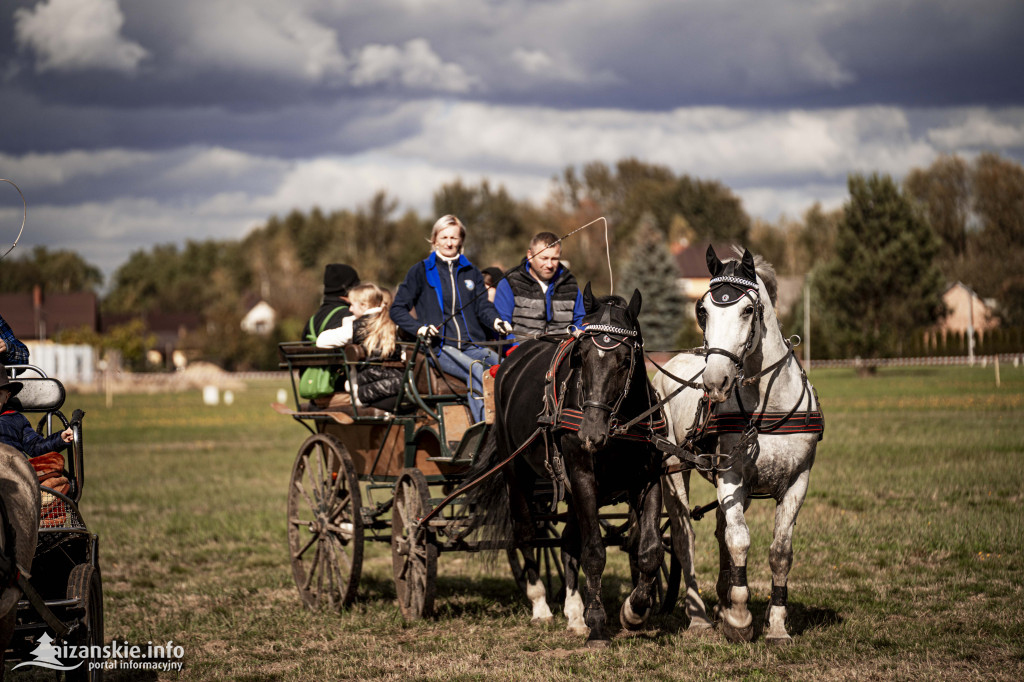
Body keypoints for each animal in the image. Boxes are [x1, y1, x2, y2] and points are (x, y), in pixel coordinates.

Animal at [464, 284, 663, 647]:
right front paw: (598, 624)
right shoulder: (583, 477)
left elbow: (649, 550)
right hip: (517, 473)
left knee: (569, 542)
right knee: (526, 533)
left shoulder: (649, 479)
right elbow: (594, 552)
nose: (590, 433)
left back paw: (573, 611)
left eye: (626, 360)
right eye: (581, 356)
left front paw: (635, 610)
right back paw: (540, 604)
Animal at [655, 245, 823, 643]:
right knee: (685, 536)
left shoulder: (798, 480)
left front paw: (776, 625)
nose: (715, 381)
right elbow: (739, 540)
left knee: (719, 529)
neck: (769, 406)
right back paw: (700, 616)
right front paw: (740, 618)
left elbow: (780, 551)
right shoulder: (731, 474)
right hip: (673, 471)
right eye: (703, 310)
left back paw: (720, 601)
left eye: (747, 309)